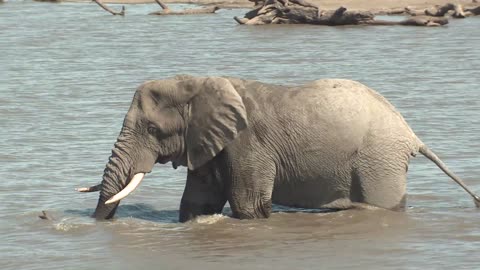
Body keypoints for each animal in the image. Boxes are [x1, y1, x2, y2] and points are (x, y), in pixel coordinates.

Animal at [79, 74, 480, 221]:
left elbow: (249, 207)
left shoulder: (247, 145)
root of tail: (411, 134)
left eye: (152, 128)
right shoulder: (208, 142)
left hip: (378, 161)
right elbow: (198, 204)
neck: (200, 82)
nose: (100, 224)